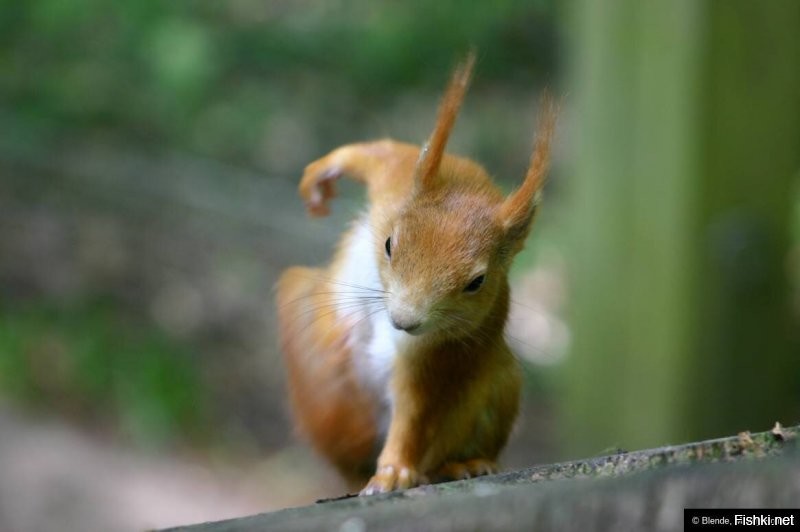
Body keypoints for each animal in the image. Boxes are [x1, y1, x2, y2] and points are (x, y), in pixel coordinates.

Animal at [276, 54, 556, 494]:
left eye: (477, 283)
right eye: (389, 244)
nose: (405, 321)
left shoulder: (438, 354)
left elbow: (416, 414)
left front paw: (393, 470)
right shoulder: (401, 178)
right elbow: (381, 153)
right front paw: (321, 175)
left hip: (501, 384)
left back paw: (462, 465)